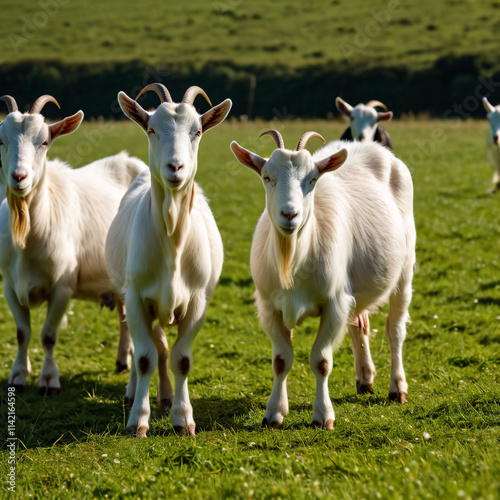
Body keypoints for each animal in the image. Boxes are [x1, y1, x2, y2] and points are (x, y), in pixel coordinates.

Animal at [0, 94, 146, 394]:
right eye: (1, 140)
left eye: (44, 142)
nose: (19, 177)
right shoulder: (9, 285)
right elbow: (22, 333)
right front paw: (18, 375)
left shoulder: (63, 286)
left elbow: (48, 335)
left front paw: (48, 380)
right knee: (124, 314)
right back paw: (122, 360)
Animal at [107, 84, 232, 436]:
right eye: (151, 129)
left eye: (198, 131)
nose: (175, 168)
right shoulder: (136, 298)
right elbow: (145, 357)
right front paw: (137, 420)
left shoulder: (198, 301)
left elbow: (181, 359)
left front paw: (183, 418)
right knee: (145, 347)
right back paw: (134, 392)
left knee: (163, 347)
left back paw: (164, 396)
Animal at [229, 131, 414, 428]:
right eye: (267, 177)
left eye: (313, 179)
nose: (289, 214)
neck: (292, 258)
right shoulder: (269, 306)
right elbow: (281, 360)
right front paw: (274, 413)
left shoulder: (334, 303)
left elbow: (321, 360)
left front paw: (323, 416)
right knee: (359, 324)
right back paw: (365, 378)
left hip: (405, 266)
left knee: (395, 329)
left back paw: (397, 388)